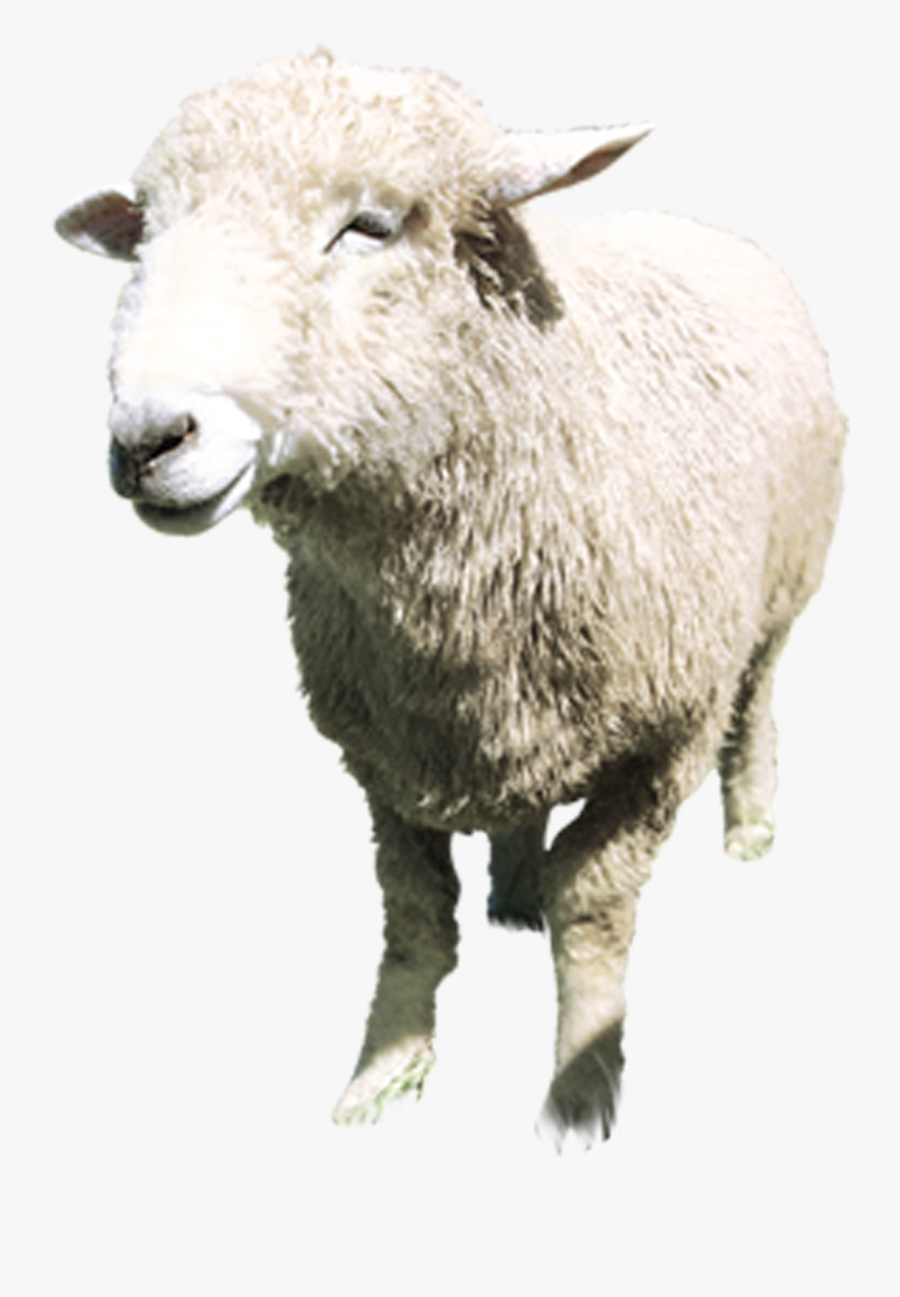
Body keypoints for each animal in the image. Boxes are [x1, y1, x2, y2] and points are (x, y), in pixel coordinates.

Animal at [56, 50, 845, 1147]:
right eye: (146, 237)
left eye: (369, 226)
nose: (147, 440)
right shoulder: (384, 751)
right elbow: (417, 909)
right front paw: (385, 1068)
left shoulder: (665, 740)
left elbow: (595, 903)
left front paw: (579, 1090)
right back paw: (514, 886)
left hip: (782, 586)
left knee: (761, 692)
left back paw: (751, 824)